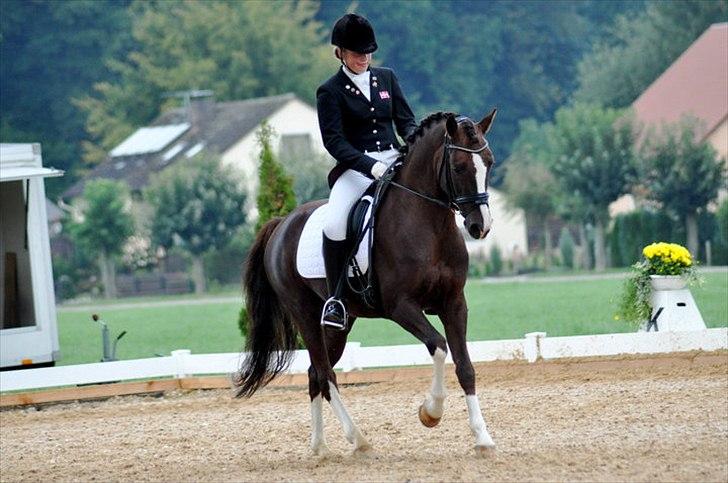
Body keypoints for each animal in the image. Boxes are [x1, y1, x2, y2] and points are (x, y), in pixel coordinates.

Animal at [234, 110, 498, 456]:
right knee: (325, 372)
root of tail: (282, 223)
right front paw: (430, 412)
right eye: (459, 166)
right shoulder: (401, 307)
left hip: (339, 325)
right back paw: (357, 438)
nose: (481, 226)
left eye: (489, 162)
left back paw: (319, 445)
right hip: (305, 314)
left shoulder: (454, 303)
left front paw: (482, 436)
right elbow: (439, 347)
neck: (429, 228)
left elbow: (465, 366)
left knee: (315, 373)